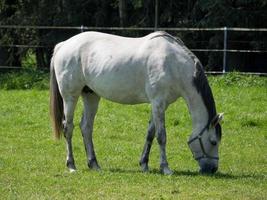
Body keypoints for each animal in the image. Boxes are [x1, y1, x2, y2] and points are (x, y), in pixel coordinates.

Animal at [50, 30, 224, 174]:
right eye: (213, 141)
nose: (212, 169)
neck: (173, 63)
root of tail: (63, 45)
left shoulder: (159, 104)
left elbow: (150, 134)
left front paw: (144, 164)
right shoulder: (158, 102)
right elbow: (161, 136)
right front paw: (165, 168)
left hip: (91, 95)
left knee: (86, 127)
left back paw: (94, 165)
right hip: (70, 96)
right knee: (68, 127)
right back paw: (71, 165)